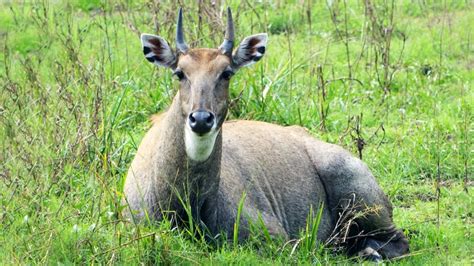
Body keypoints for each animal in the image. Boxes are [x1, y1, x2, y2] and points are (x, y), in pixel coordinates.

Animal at [124, 7, 410, 260]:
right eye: (179, 73)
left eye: (226, 73)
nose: (202, 119)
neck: (186, 204)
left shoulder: (277, 238)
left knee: (399, 242)